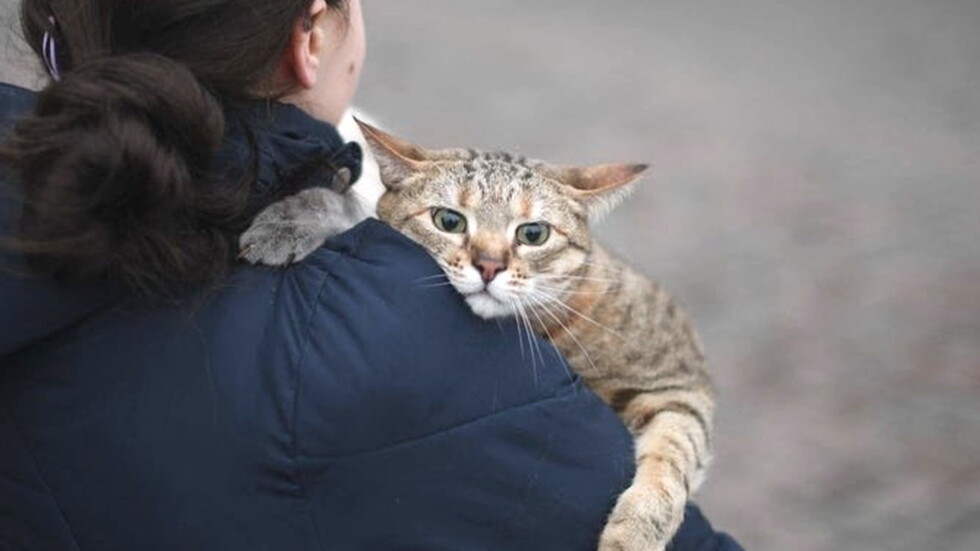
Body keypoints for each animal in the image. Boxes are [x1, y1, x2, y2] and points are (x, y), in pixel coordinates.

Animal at [237, 122, 712, 551]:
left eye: (533, 233)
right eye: (448, 220)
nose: (488, 265)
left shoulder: (680, 383)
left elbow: (673, 457)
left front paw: (634, 533)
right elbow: (353, 210)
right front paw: (290, 220)